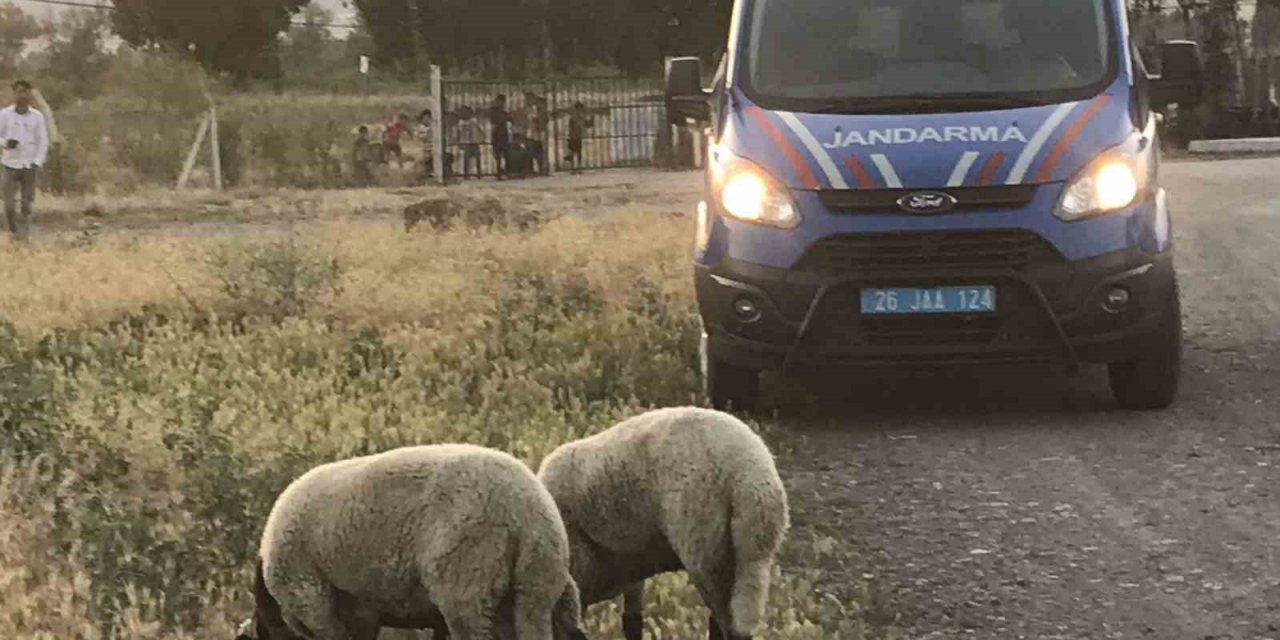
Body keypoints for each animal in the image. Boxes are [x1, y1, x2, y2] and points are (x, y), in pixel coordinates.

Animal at [532, 409, 788, 640]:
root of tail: (752, 479)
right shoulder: (631, 560)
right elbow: (632, 621)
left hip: (705, 551)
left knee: (728, 625)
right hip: (749, 560)